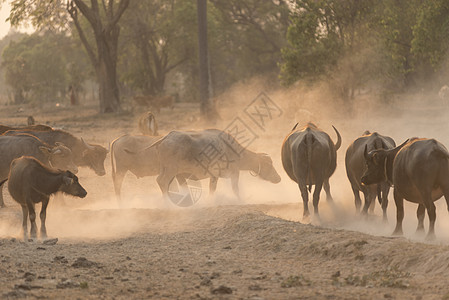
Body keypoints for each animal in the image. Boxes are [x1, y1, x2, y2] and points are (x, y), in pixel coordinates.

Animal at [149, 129, 278, 199]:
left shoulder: (214, 176)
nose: (279, 178)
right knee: (162, 181)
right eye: (269, 164)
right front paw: (241, 199)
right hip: (171, 170)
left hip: (173, 172)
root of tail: (166, 137)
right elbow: (235, 189)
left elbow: (212, 189)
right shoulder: (234, 173)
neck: (231, 149)